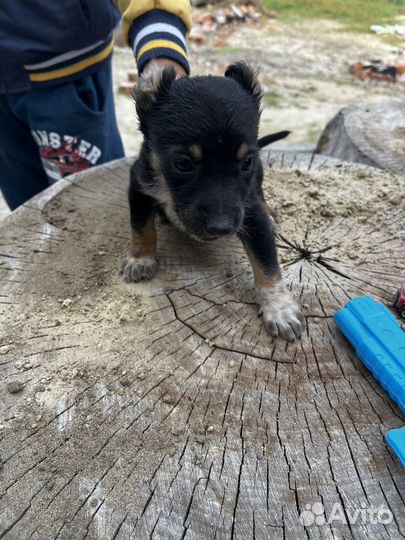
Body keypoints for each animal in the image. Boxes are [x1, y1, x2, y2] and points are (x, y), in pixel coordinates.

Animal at [121, 62, 302, 342]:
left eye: (246, 162)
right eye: (183, 163)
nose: (222, 228)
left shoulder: (249, 212)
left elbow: (267, 261)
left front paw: (279, 308)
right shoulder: (139, 184)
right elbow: (141, 227)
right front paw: (140, 260)